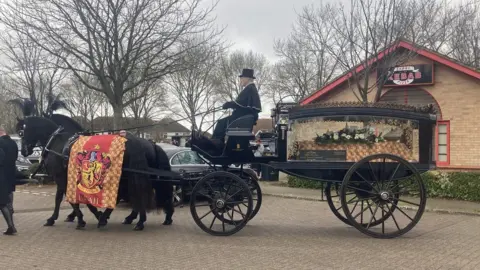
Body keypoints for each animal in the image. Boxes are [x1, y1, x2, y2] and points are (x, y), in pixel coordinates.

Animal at [13, 103, 174, 230]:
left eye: (21, 132)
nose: (24, 151)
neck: (59, 143)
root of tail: (148, 143)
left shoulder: (61, 177)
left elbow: (64, 198)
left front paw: (72, 218)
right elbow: (72, 197)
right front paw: (82, 215)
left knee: (135, 193)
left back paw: (135, 219)